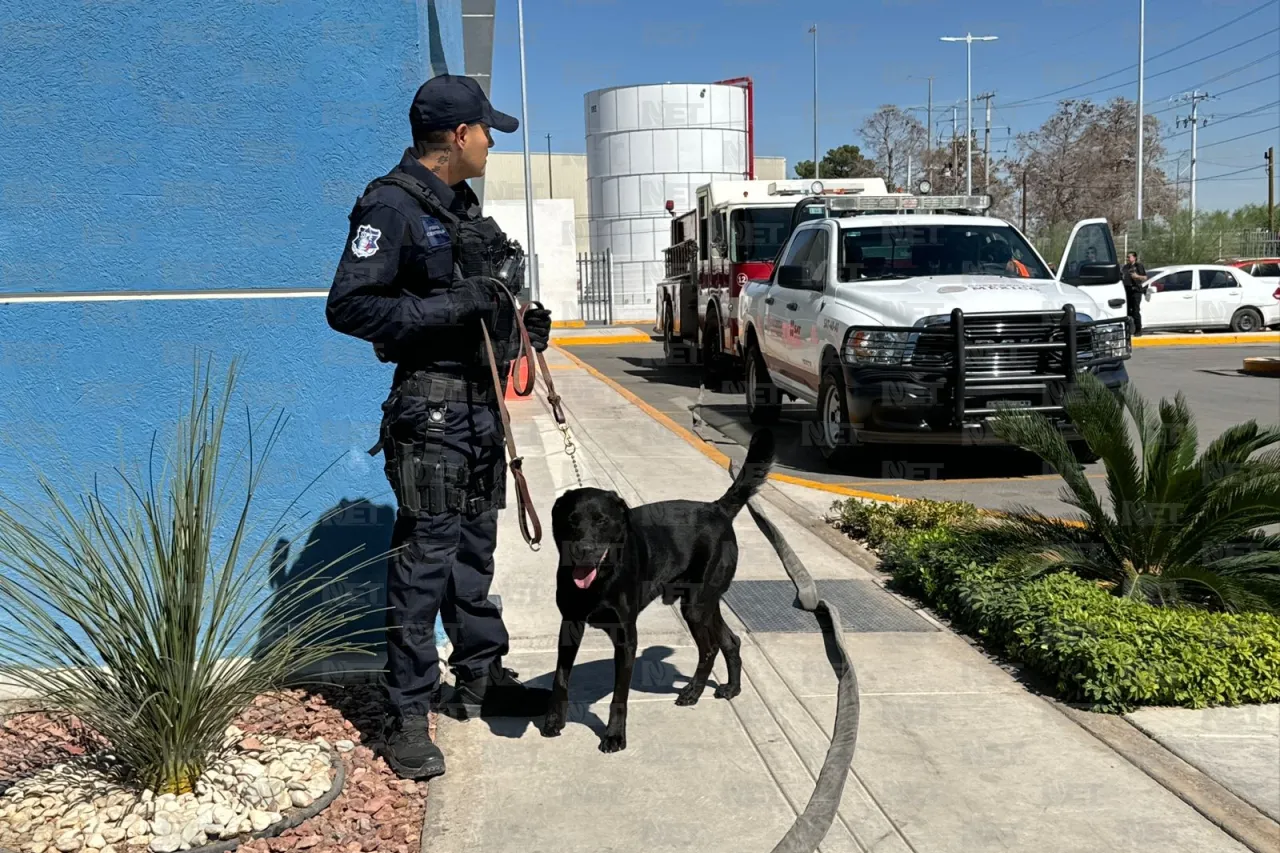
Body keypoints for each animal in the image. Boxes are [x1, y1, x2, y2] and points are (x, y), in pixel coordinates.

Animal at [537, 427, 768, 747]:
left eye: (602, 521)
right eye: (571, 520)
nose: (584, 550)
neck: (603, 577)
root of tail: (717, 509)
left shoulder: (626, 637)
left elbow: (619, 695)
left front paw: (614, 736)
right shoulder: (570, 625)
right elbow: (560, 678)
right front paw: (554, 721)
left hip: (696, 605)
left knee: (709, 648)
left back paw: (693, 692)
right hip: (705, 602)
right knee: (730, 641)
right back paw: (732, 688)